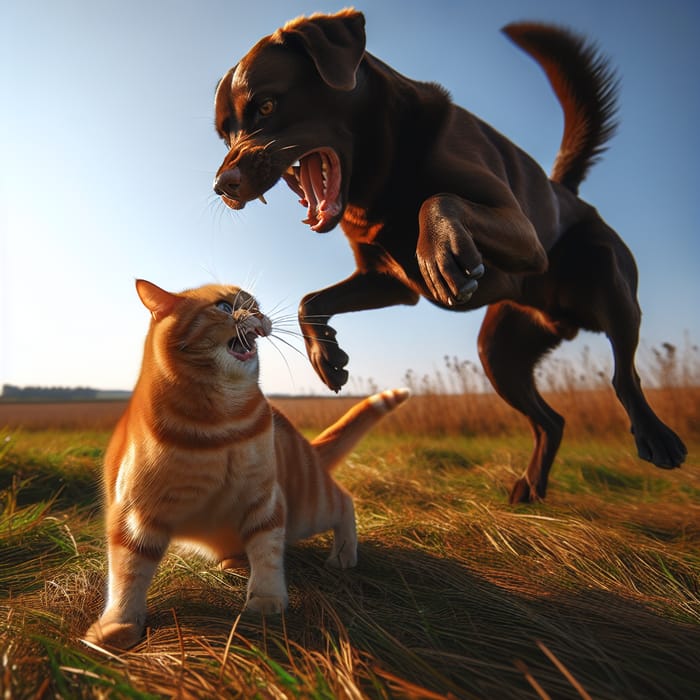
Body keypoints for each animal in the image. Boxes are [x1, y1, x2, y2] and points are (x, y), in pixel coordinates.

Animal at [84, 280, 408, 652]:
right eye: (224, 307)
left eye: (255, 305)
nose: (256, 314)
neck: (222, 424)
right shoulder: (137, 514)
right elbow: (127, 573)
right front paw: (118, 626)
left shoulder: (265, 498)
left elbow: (267, 552)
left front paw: (266, 601)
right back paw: (233, 563)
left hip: (310, 508)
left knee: (344, 501)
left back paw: (342, 555)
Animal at [212, 10, 684, 504]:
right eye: (225, 134)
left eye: (266, 106)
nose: (222, 186)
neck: (379, 175)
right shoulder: (389, 281)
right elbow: (310, 300)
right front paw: (327, 357)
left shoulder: (524, 234)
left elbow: (438, 199)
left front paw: (439, 252)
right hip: (498, 352)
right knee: (552, 421)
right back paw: (530, 488)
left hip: (609, 280)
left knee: (624, 374)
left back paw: (656, 437)